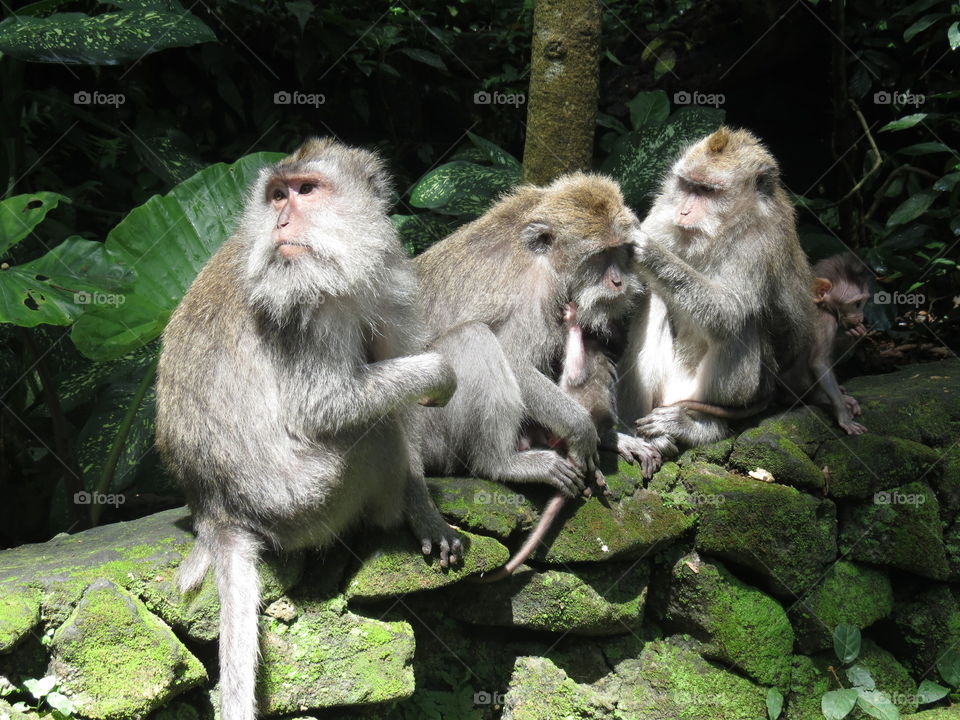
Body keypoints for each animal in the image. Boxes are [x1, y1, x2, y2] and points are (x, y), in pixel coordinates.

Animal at [155, 138, 463, 720]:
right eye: (277, 194)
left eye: (305, 190)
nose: (280, 218)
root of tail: (217, 510)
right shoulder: (306, 302)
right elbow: (323, 408)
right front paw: (441, 373)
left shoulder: (380, 279)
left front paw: (427, 513)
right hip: (308, 499)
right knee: (375, 428)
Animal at [414, 173, 657, 580]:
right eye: (599, 255)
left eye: (621, 251)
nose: (619, 282)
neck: (546, 258)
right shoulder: (536, 289)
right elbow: (514, 359)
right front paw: (582, 430)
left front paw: (611, 437)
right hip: (431, 429)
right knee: (473, 337)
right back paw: (501, 463)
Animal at [618, 126, 815, 473]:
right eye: (688, 186)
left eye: (707, 191)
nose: (684, 211)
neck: (721, 232)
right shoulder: (663, 211)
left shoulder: (760, 241)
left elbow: (731, 314)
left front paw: (651, 251)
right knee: (656, 299)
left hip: (705, 392)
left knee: (742, 321)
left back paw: (696, 427)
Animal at [778, 252, 871, 434]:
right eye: (856, 304)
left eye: (862, 302)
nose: (861, 317)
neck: (821, 304)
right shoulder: (825, 320)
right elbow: (819, 363)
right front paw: (844, 417)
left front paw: (855, 334)